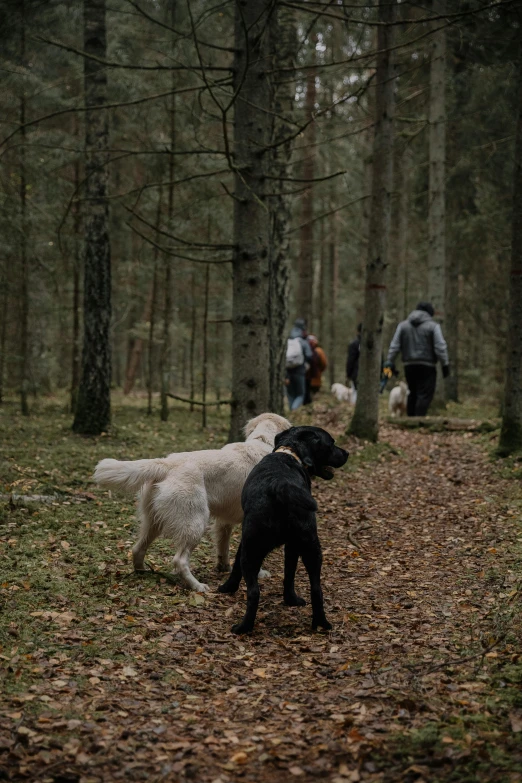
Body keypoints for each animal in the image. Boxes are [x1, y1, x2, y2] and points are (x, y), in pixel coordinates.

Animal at [93, 416, 288, 588]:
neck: (261, 441)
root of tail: (166, 463)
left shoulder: (224, 521)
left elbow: (223, 548)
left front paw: (224, 567)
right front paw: (259, 573)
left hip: (154, 522)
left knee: (137, 549)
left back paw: (143, 573)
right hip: (195, 523)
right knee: (179, 561)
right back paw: (197, 586)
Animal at [217, 426, 348, 632]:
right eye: (332, 443)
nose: (347, 453)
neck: (290, 452)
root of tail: (280, 486)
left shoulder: (245, 541)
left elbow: (236, 565)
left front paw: (227, 588)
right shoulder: (292, 546)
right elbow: (289, 573)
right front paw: (290, 599)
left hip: (252, 549)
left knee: (253, 592)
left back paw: (244, 627)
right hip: (311, 547)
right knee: (316, 589)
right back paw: (321, 623)